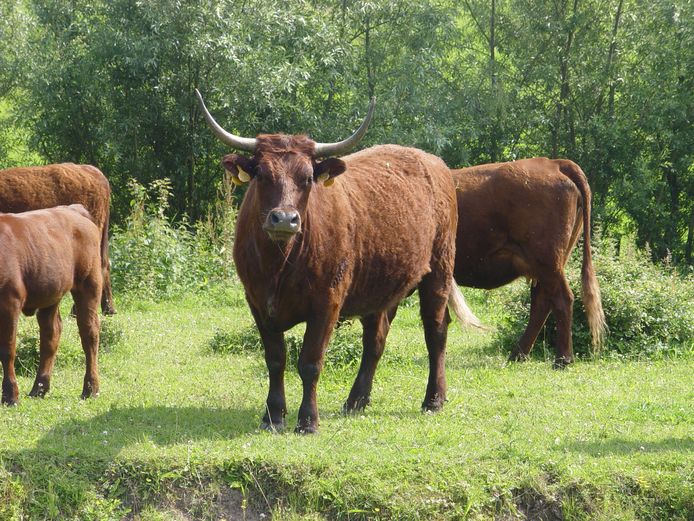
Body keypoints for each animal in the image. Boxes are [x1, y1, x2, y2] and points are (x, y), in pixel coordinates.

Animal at [0, 205, 102, 404]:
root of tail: (72, 209)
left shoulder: (9, 301)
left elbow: (7, 349)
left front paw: (10, 396)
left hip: (89, 284)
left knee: (89, 334)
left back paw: (90, 389)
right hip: (51, 293)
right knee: (51, 334)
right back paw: (39, 388)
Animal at [197, 90, 484, 434]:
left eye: (308, 178)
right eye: (262, 175)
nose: (285, 219)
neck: (280, 265)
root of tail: (433, 162)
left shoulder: (327, 302)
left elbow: (310, 362)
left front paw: (308, 420)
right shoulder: (257, 301)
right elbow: (275, 359)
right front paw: (273, 416)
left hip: (439, 270)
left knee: (436, 331)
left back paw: (433, 399)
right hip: (383, 285)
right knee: (376, 339)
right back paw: (356, 400)